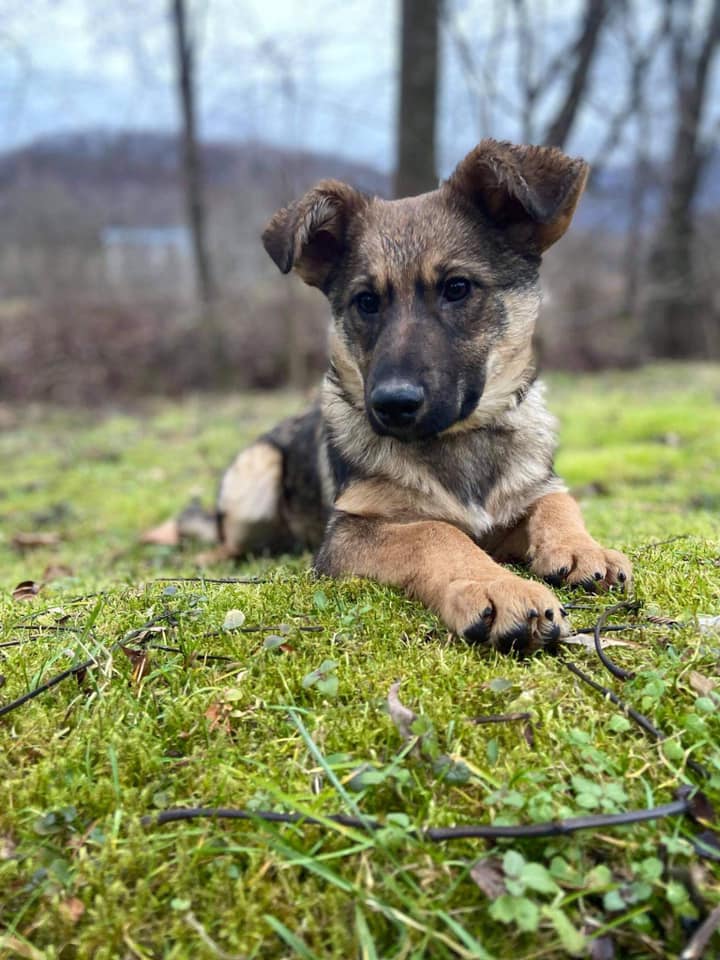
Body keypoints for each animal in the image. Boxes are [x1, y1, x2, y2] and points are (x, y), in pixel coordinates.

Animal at [216, 138, 632, 654]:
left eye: (457, 288)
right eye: (366, 302)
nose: (393, 404)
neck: (457, 440)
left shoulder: (517, 507)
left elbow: (557, 501)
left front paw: (584, 548)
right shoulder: (348, 533)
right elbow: (433, 533)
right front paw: (496, 586)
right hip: (256, 472)